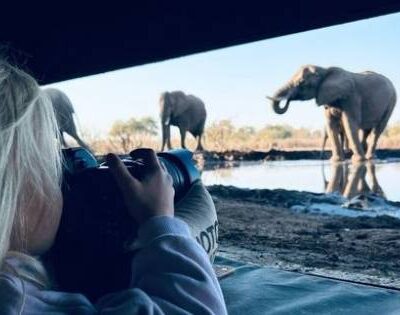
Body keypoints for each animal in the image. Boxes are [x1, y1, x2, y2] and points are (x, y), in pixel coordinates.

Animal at [268, 65, 396, 163]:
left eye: (302, 83)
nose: (288, 100)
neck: (324, 71)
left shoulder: (351, 97)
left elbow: (349, 124)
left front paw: (358, 161)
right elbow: (331, 125)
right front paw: (336, 161)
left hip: (392, 101)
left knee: (378, 129)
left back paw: (369, 158)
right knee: (366, 130)